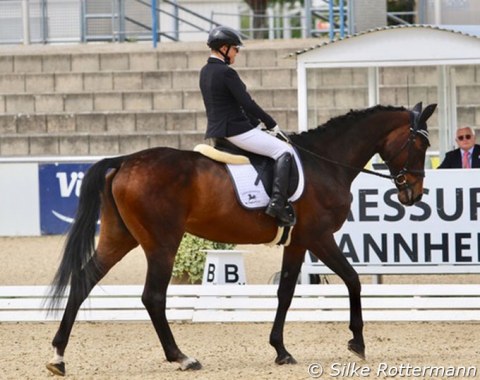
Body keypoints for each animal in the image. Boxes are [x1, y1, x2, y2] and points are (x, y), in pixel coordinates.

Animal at [47, 102, 436, 376]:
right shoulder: (319, 236)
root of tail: (124, 161)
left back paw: (58, 357)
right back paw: (182, 358)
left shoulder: (298, 241)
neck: (326, 162)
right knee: (153, 297)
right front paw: (357, 342)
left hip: (119, 238)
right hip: (162, 243)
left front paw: (281, 350)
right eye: (419, 143)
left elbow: (286, 292)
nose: (413, 194)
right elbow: (353, 279)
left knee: (83, 281)